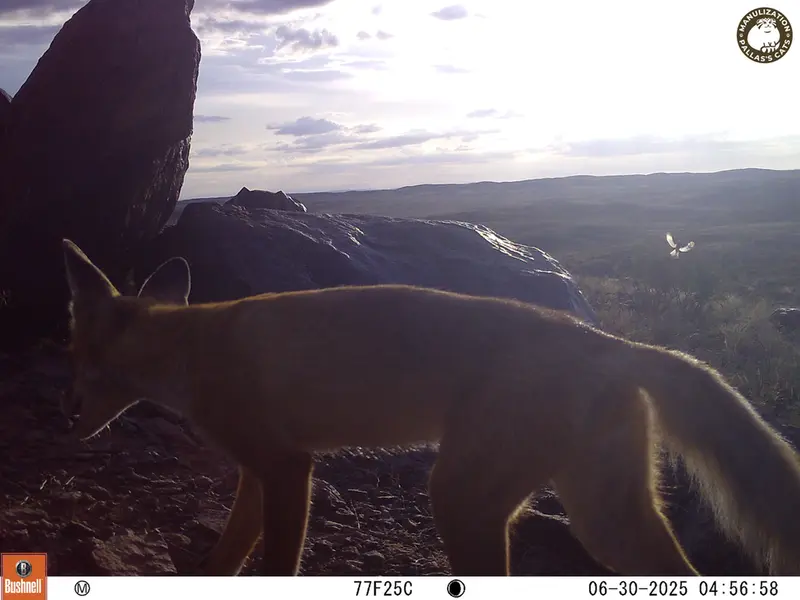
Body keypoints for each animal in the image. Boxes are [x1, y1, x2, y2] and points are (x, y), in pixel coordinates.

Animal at [60, 237, 800, 577]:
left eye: (80, 365)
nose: (68, 422)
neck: (192, 346)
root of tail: (612, 343)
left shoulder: (288, 468)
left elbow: (275, 563)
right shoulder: (257, 471)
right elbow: (226, 557)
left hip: (460, 498)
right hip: (602, 519)